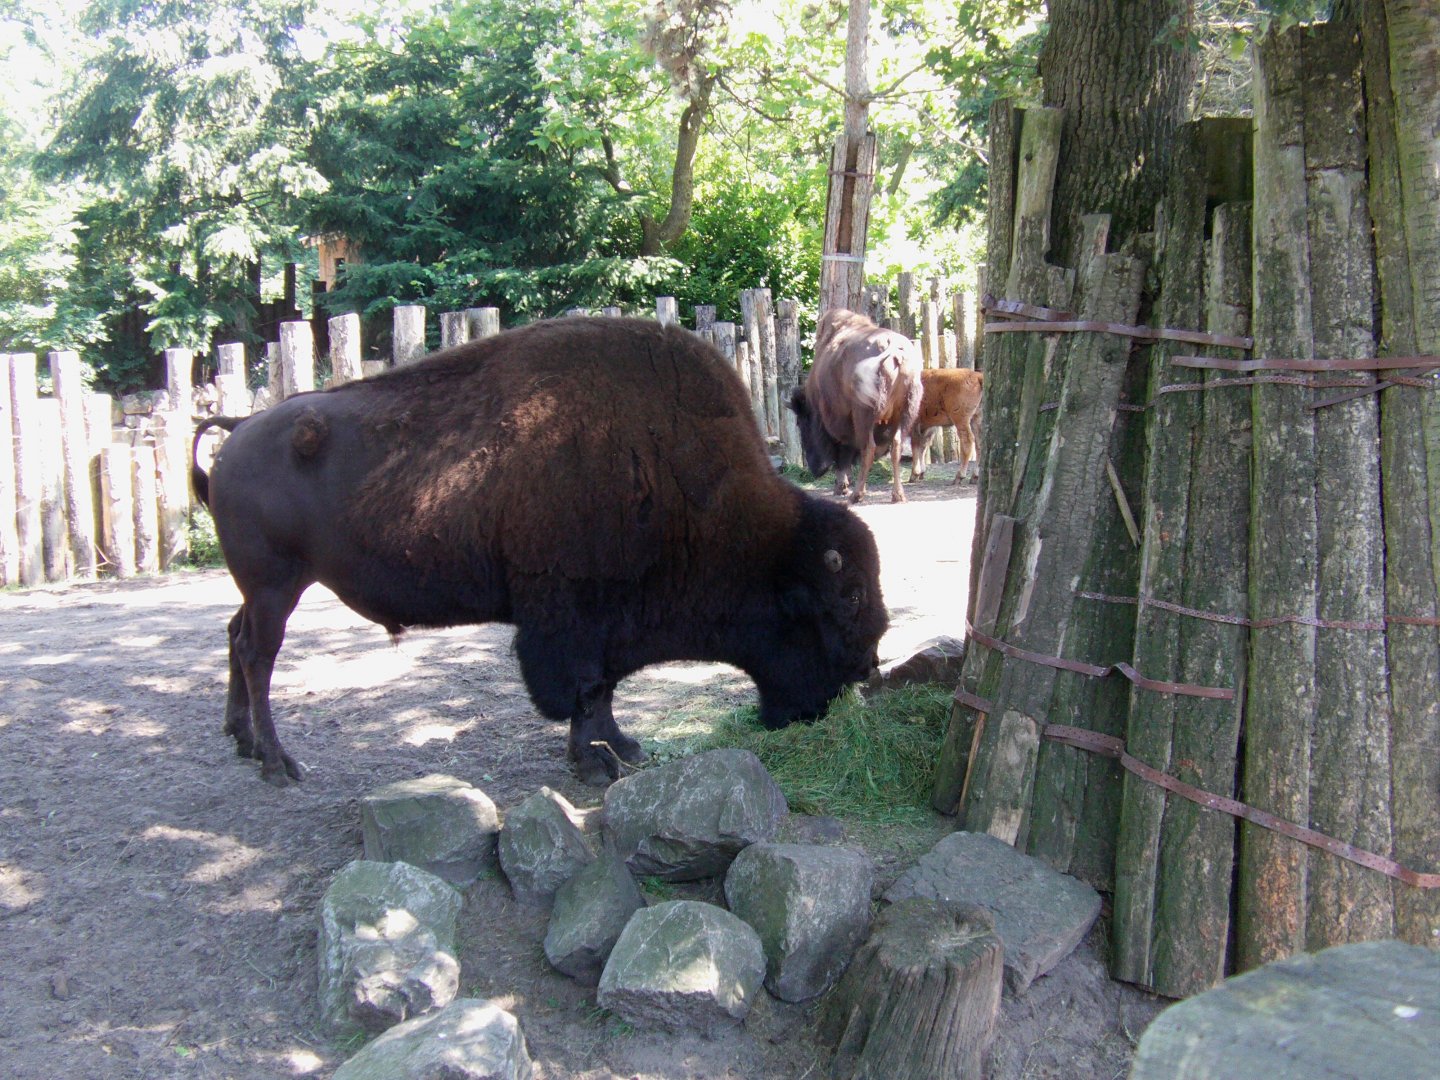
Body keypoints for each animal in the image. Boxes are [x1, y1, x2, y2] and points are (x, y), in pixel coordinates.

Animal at [191, 317, 888, 786]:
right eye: (846, 598)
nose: (867, 670)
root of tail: (238, 431)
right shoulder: (571, 620)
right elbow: (584, 690)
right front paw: (595, 764)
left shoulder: (608, 627)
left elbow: (604, 692)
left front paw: (622, 749)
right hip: (277, 585)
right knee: (257, 654)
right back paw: (278, 762)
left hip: (263, 589)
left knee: (234, 636)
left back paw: (241, 741)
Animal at [787, 308, 923, 503]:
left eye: (801, 423)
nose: (815, 469)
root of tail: (891, 349)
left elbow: (842, 453)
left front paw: (841, 487)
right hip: (905, 413)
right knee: (896, 446)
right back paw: (898, 495)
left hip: (864, 416)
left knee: (868, 448)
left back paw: (857, 495)